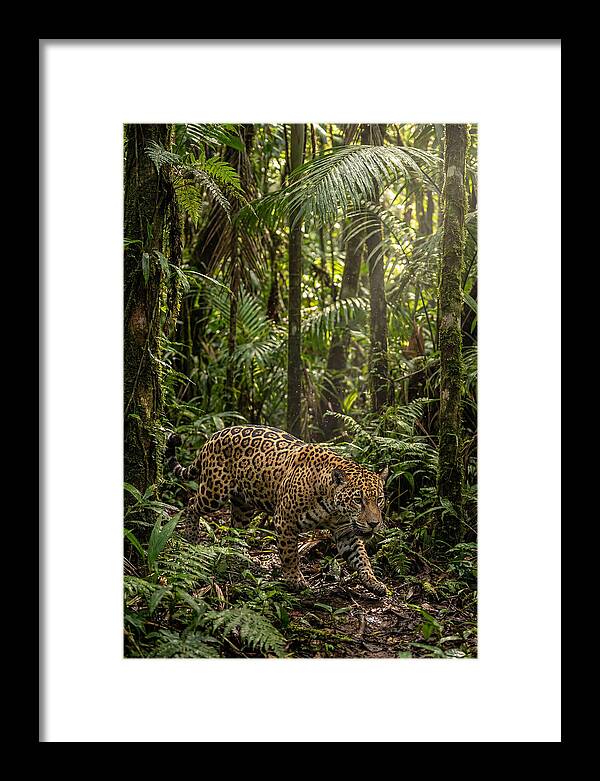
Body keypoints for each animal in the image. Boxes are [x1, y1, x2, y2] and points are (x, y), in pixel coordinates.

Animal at [166, 425, 390, 597]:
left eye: (379, 500)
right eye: (358, 500)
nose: (374, 524)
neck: (333, 507)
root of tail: (213, 436)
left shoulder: (346, 531)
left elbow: (361, 557)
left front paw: (374, 583)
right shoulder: (285, 521)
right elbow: (290, 554)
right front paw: (295, 581)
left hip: (243, 505)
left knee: (235, 527)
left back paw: (238, 555)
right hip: (214, 491)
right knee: (191, 504)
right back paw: (191, 537)